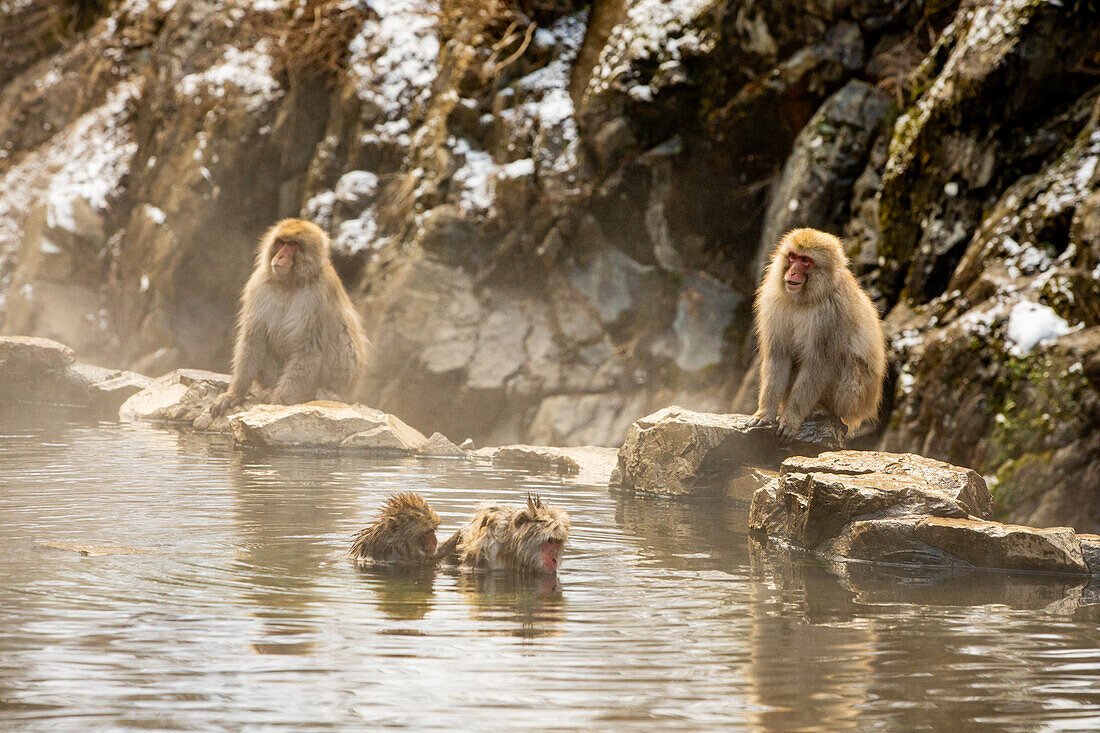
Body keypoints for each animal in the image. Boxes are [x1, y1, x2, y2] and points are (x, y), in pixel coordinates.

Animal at [210, 216, 369, 413]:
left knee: (344, 339)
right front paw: (234, 394)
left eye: (293, 245)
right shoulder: (258, 285)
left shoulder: (318, 297)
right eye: (281, 243)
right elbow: (253, 339)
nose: (280, 256)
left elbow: (308, 350)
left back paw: (330, 392)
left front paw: (278, 403)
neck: (290, 283)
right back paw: (269, 389)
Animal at [748, 225, 884, 435]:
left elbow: (818, 364)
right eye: (792, 257)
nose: (792, 273)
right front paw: (765, 413)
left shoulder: (833, 312)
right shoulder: (773, 300)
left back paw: (823, 410)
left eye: (805, 261)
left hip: (855, 399)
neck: (804, 299)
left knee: (844, 360)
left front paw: (791, 418)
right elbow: (778, 356)